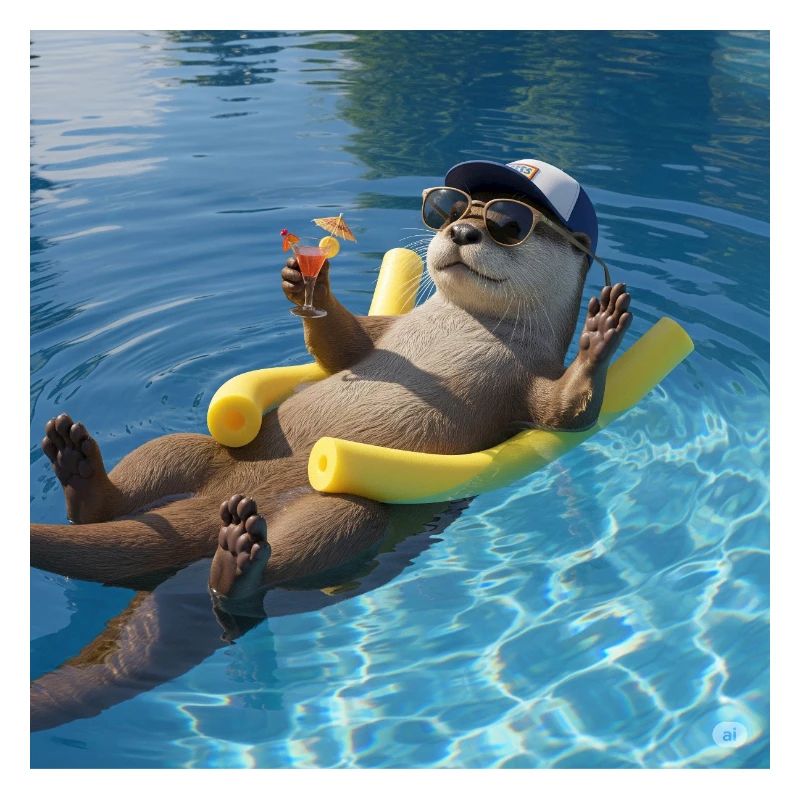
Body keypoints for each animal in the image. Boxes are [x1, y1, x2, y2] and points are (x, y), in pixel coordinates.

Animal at [30, 160, 631, 728]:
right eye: (454, 208)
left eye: (508, 224)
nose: (462, 230)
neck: (465, 327)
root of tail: (211, 509)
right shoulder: (386, 331)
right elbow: (344, 348)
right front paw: (308, 282)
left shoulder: (527, 384)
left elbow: (566, 413)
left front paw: (600, 337)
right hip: (199, 455)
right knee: (160, 461)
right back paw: (80, 469)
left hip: (340, 515)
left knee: (321, 535)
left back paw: (235, 564)